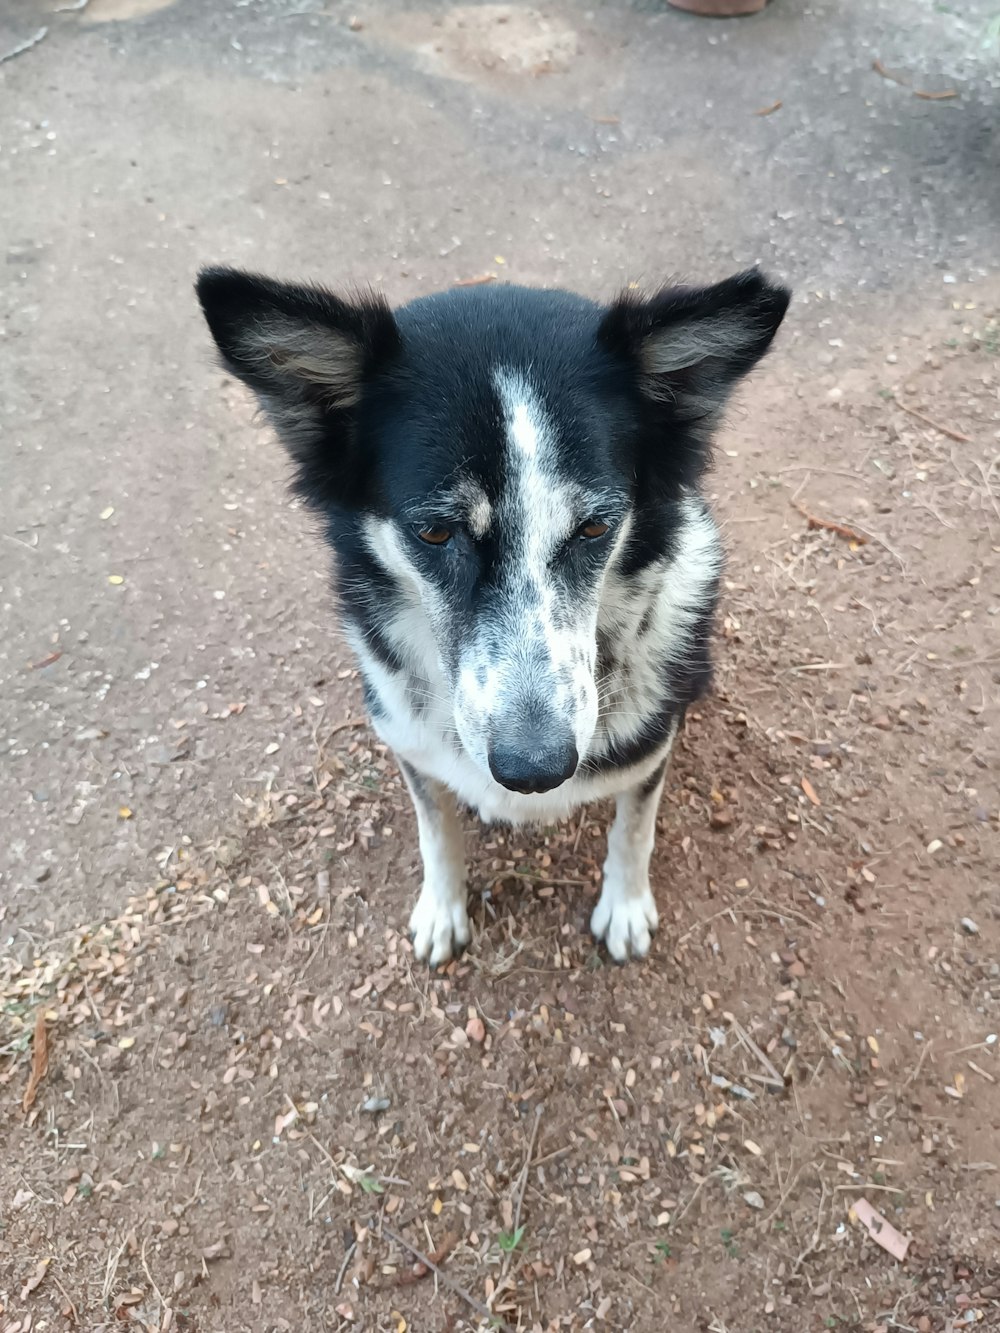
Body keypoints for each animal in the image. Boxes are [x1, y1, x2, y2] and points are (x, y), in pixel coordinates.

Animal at [196, 265, 789, 965]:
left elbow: (633, 828)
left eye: (595, 527)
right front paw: (442, 909)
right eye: (433, 532)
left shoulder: (649, 754)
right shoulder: (411, 746)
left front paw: (625, 906)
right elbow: (435, 831)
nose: (535, 771)